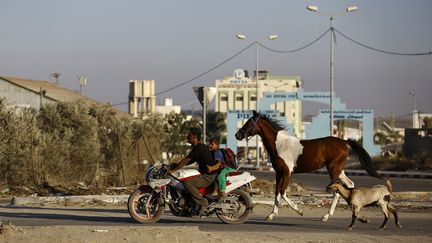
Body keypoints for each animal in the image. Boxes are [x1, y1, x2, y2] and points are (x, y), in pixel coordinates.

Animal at [236, 111, 382, 221]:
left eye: (248, 123)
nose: (237, 135)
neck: (279, 145)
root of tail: (344, 142)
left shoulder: (287, 172)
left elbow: (283, 192)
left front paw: (299, 210)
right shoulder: (279, 173)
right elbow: (276, 192)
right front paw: (271, 215)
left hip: (333, 169)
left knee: (337, 190)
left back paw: (326, 216)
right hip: (339, 170)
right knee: (350, 184)